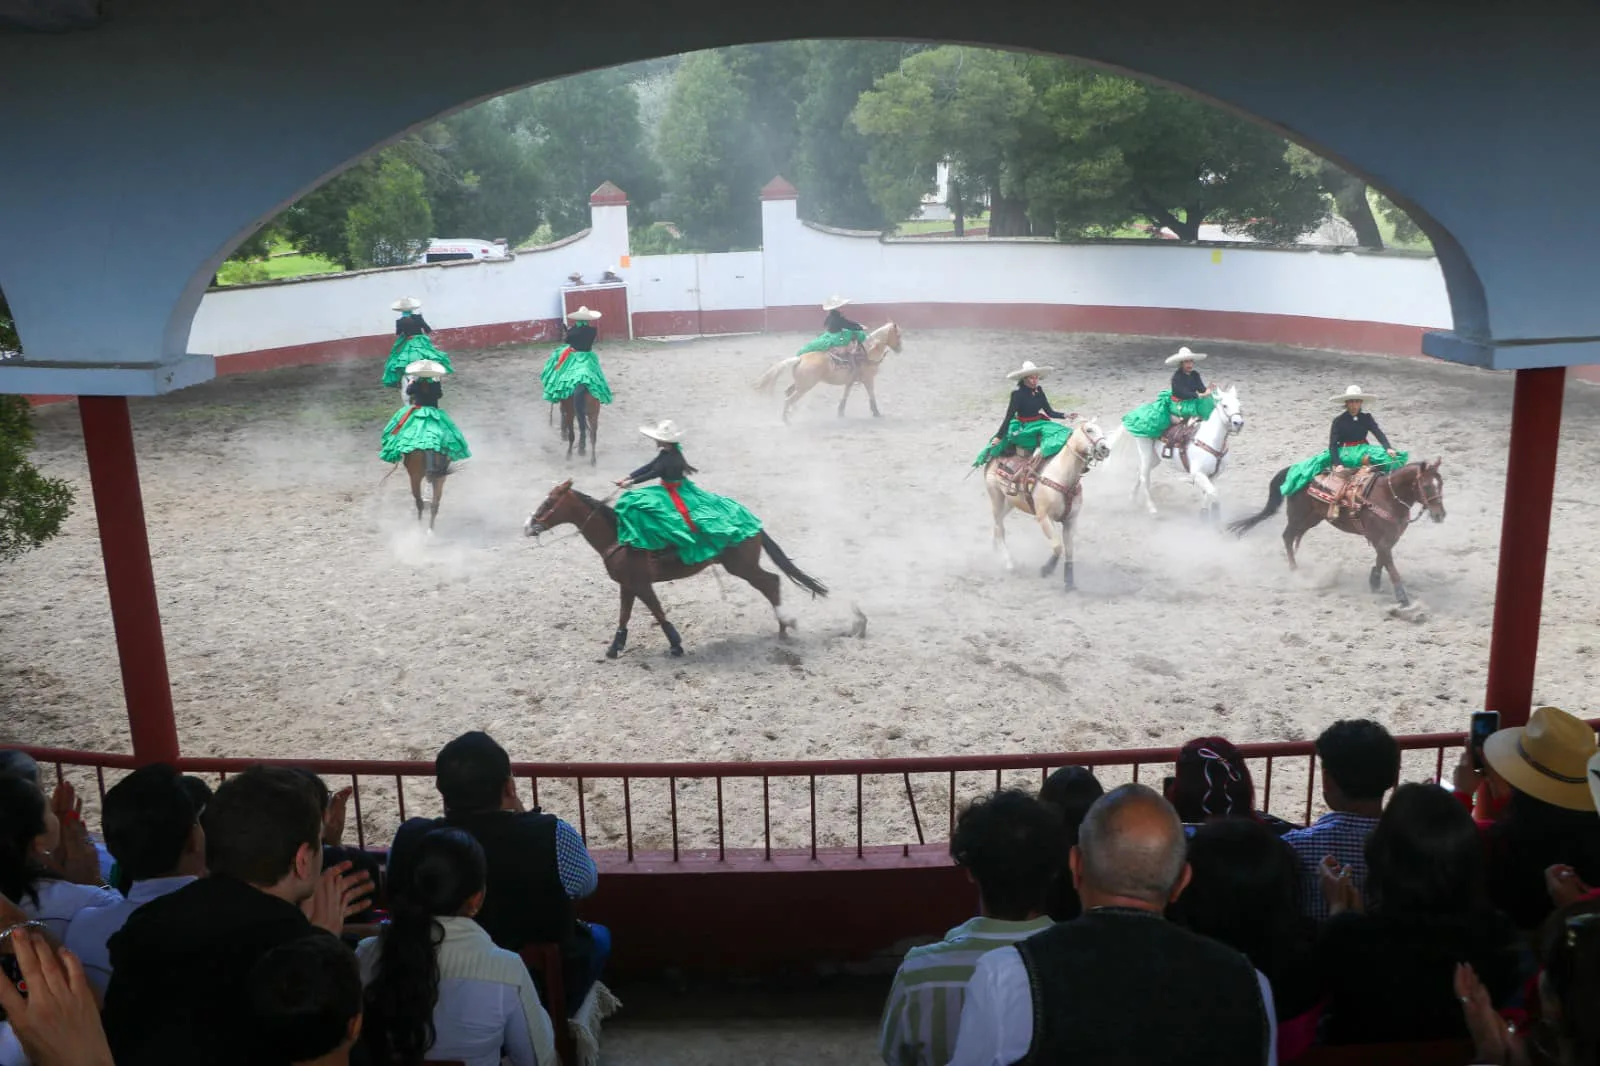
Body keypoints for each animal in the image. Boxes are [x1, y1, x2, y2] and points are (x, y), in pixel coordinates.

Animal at [524, 473, 832, 656]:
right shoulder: (628, 585)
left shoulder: (641, 584)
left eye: (549, 502)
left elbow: (658, 612)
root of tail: (752, 521)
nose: (528, 526)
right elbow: (624, 615)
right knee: (772, 582)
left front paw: (675, 644)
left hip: (742, 567)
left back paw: (784, 628)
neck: (619, 535)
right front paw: (615, 647)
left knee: (771, 582)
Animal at [748, 320, 902, 419]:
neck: (868, 351)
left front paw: (840, 412)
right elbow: (871, 394)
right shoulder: (868, 379)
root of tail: (800, 358)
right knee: (789, 399)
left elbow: (845, 395)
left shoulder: (851, 381)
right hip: (805, 387)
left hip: (799, 385)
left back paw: (791, 413)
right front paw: (876, 412)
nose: (900, 349)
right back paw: (787, 420)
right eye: (898, 335)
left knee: (788, 393)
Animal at [972, 416, 1113, 589]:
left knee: (998, 526)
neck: (1063, 478)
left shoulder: (1071, 520)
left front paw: (1069, 582)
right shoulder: (1044, 517)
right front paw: (1046, 569)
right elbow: (1058, 547)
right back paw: (1008, 562)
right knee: (1000, 527)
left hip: (1010, 502)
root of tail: (994, 457)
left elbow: (1069, 550)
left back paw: (995, 549)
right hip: (996, 497)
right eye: (1089, 430)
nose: (1105, 448)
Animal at [1113, 382, 1248, 518]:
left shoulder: (1213, 476)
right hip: (1145, 451)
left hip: (1155, 457)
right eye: (1225, 405)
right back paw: (1152, 508)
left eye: (1239, 405)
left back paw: (1132, 499)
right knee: (1144, 476)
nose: (1238, 423)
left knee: (1140, 473)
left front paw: (1204, 515)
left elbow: (1207, 494)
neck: (1211, 441)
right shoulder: (1197, 473)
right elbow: (1213, 493)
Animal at [1222, 457, 1452, 605]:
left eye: (1440, 484)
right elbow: (1390, 565)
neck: (1387, 496)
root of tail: (1293, 468)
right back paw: (1295, 571)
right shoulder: (1380, 540)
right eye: (1426, 486)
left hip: (1312, 518)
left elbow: (1382, 560)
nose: (1440, 515)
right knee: (1287, 537)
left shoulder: (1390, 538)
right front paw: (1402, 597)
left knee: (1294, 537)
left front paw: (1374, 581)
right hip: (1297, 515)